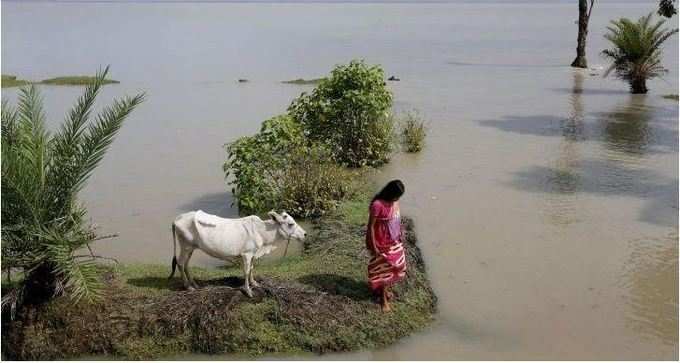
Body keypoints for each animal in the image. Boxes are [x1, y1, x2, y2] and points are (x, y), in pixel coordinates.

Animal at [169, 209, 306, 298]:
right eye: (290, 224)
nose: (305, 234)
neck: (262, 232)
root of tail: (177, 219)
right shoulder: (247, 254)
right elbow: (246, 271)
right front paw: (249, 291)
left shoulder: (253, 254)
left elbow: (252, 268)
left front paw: (254, 283)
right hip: (185, 246)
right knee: (180, 263)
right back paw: (188, 286)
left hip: (191, 248)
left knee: (186, 264)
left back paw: (194, 284)